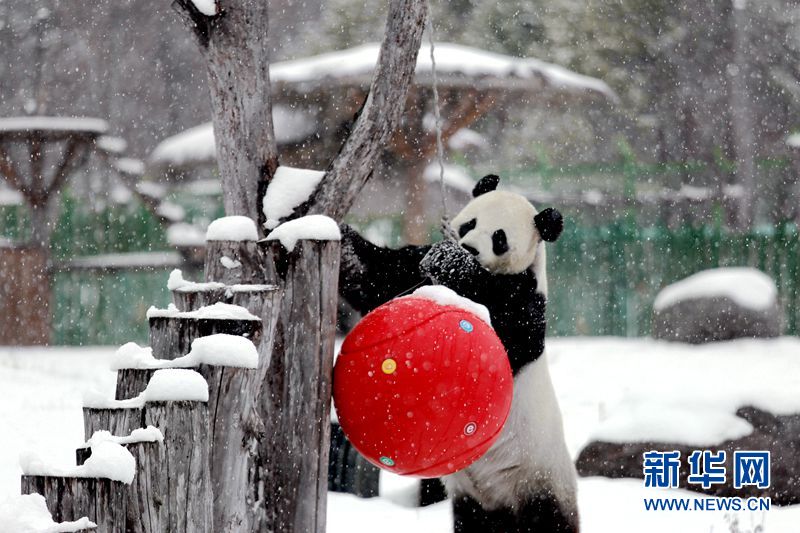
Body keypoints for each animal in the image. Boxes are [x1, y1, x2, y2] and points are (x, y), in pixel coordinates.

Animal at [340, 175, 580, 532]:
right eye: (470, 223)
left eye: (499, 239)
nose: (469, 248)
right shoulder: (413, 269)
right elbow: (376, 275)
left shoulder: (525, 302)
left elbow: (504, 338)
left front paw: (454, 263)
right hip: (473, 500)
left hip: (539, 480)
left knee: (548, 520)